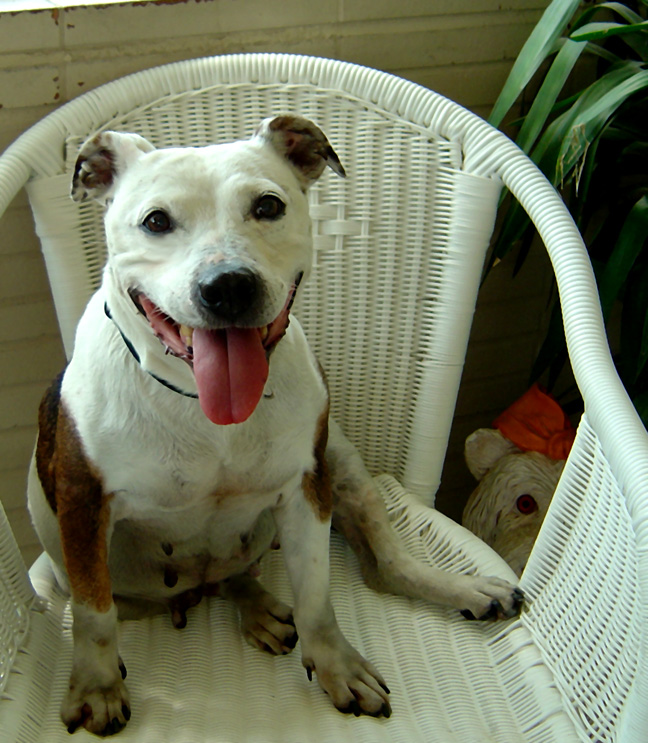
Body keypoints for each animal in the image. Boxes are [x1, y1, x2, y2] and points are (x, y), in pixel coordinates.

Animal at [29, 117, 520, 740]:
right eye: (156, 221)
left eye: (268, 206)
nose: (228, 285)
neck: (201, 405)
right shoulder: (83, 503)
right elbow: (95, 614)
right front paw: (96, 686)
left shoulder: (306, 490)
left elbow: (316, 593)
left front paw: (337, 666)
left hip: (342, 463)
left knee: (381, 565)